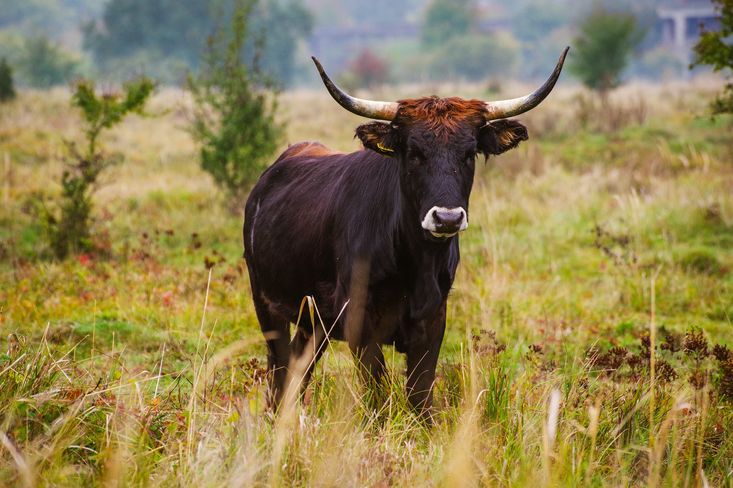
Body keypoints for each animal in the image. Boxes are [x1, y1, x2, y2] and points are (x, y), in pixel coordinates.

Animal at [243, 48, 568, 416]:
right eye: (414, 152)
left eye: (469, 153)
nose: (446, 218)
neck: (414, 262)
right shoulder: (359, 322)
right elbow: (378, 395)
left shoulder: (433, 320)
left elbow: (420, 395)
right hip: (267, 305)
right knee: (280, 370)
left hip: (312, 321)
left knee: (298, 370)